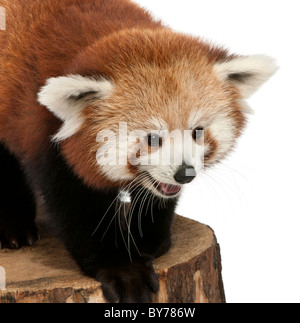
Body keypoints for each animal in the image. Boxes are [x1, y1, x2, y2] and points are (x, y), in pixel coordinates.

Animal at [0, 0, 276, 304]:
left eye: (197, 132)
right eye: (152, 138)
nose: (185, 173)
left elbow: (158, 195)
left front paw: (148, 238)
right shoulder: (43, 134)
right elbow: (77, 206)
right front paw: (124, 270)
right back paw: (14, 227)